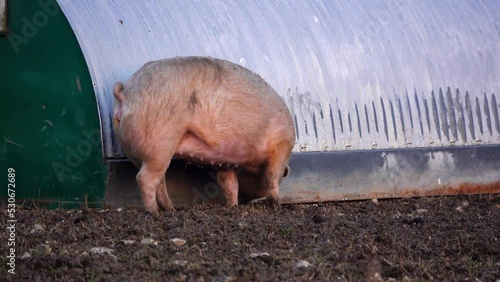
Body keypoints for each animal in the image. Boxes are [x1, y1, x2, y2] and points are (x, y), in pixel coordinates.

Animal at [111, 57, 294, 216]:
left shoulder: (225, 160)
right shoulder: (282, 143)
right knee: (145, 179)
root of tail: (125, 93)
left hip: (145, 153)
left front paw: (231, 206)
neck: (250, 166)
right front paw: (275, 205)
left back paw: (171, 210)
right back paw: (154, 213)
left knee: (159, 181)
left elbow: (228, 183)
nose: (244, 202)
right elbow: (271, 175)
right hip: (160, 142)